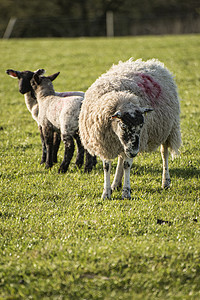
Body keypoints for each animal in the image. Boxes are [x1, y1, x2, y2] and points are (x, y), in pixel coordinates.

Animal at [79, 58, 182, 199]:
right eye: (123, 125)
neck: (121, 98)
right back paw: (115, 184)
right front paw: (106, 193)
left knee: (164, 154)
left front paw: (126, 192)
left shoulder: (134, 143)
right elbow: (107, 166)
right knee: (121, 157)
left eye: (142, 126)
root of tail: (151, 63)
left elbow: (127, 165)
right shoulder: (104, 143)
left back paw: (165, 182)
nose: (134, 152)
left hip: (168, 130)